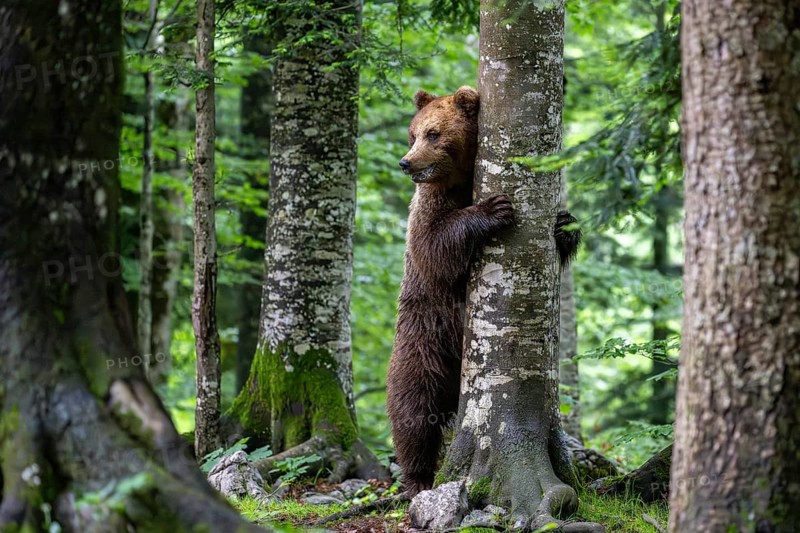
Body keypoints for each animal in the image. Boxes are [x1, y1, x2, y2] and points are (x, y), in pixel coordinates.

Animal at [385, 86, 581, 497]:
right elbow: (434, 246)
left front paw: (564, 225)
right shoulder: (430, 205)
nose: (406, 163)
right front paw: (494, 208)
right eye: (414, 134)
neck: (461, 179)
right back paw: (417, 478)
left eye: (433, 133)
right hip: (421, 340)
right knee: (413, 411)